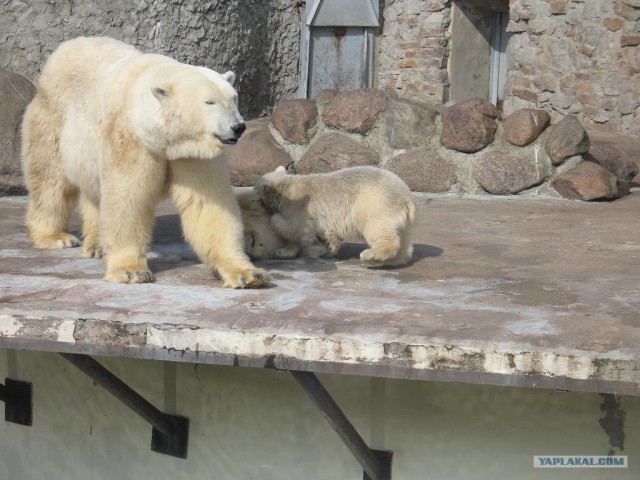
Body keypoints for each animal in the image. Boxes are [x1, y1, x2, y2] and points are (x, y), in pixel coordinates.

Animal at [21, 37, 268, 286]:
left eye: (234, 98)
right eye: (209, 102)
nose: (238, 127)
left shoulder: (191, 154)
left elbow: (208, 203)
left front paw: (248, 274)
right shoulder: (131, 140)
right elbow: (128, 197)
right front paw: (131, 271)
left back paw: (97, 245)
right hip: (54, 116)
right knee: (50, 178)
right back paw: (55, 237)